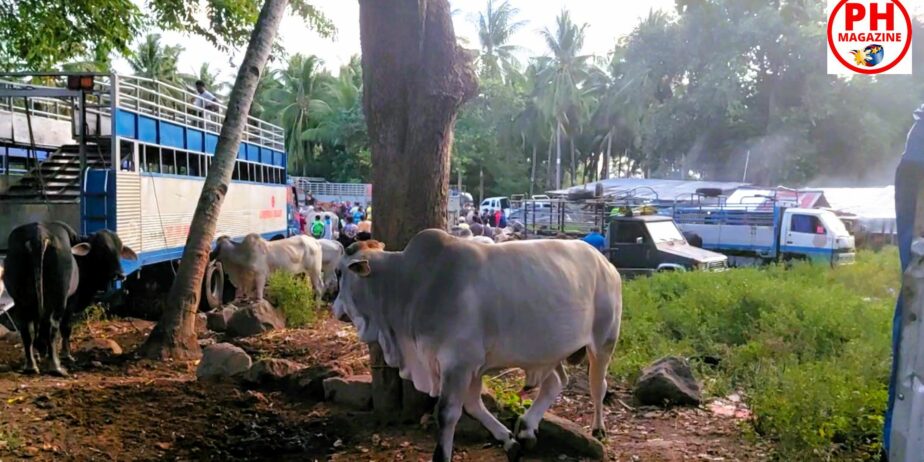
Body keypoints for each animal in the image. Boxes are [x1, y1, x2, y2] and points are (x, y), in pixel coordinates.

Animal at [3, 222, 137, 378]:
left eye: (119, 249)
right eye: (102, 250)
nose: (120, 274)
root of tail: (39, 235)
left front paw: (40, 352)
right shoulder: (71, 301)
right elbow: (66, 328)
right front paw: (66, 355)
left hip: (20, 299)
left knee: (27, 328)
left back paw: (31, 365)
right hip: (59, 297)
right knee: (52, 326)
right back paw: (56, 367)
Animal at [332, 231, 620, 462]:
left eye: (338, 272)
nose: (333, 307)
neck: (411, 287)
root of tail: (605, 262)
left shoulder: (458, 363)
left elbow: (448, 413)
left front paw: (442, 456)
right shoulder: (469, 367)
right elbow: (472, 406)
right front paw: (510, 442)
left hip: (604, 342)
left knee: (598, 385)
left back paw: (598, 429)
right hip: (545, 352)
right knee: (556, 382)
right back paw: (527, 429)